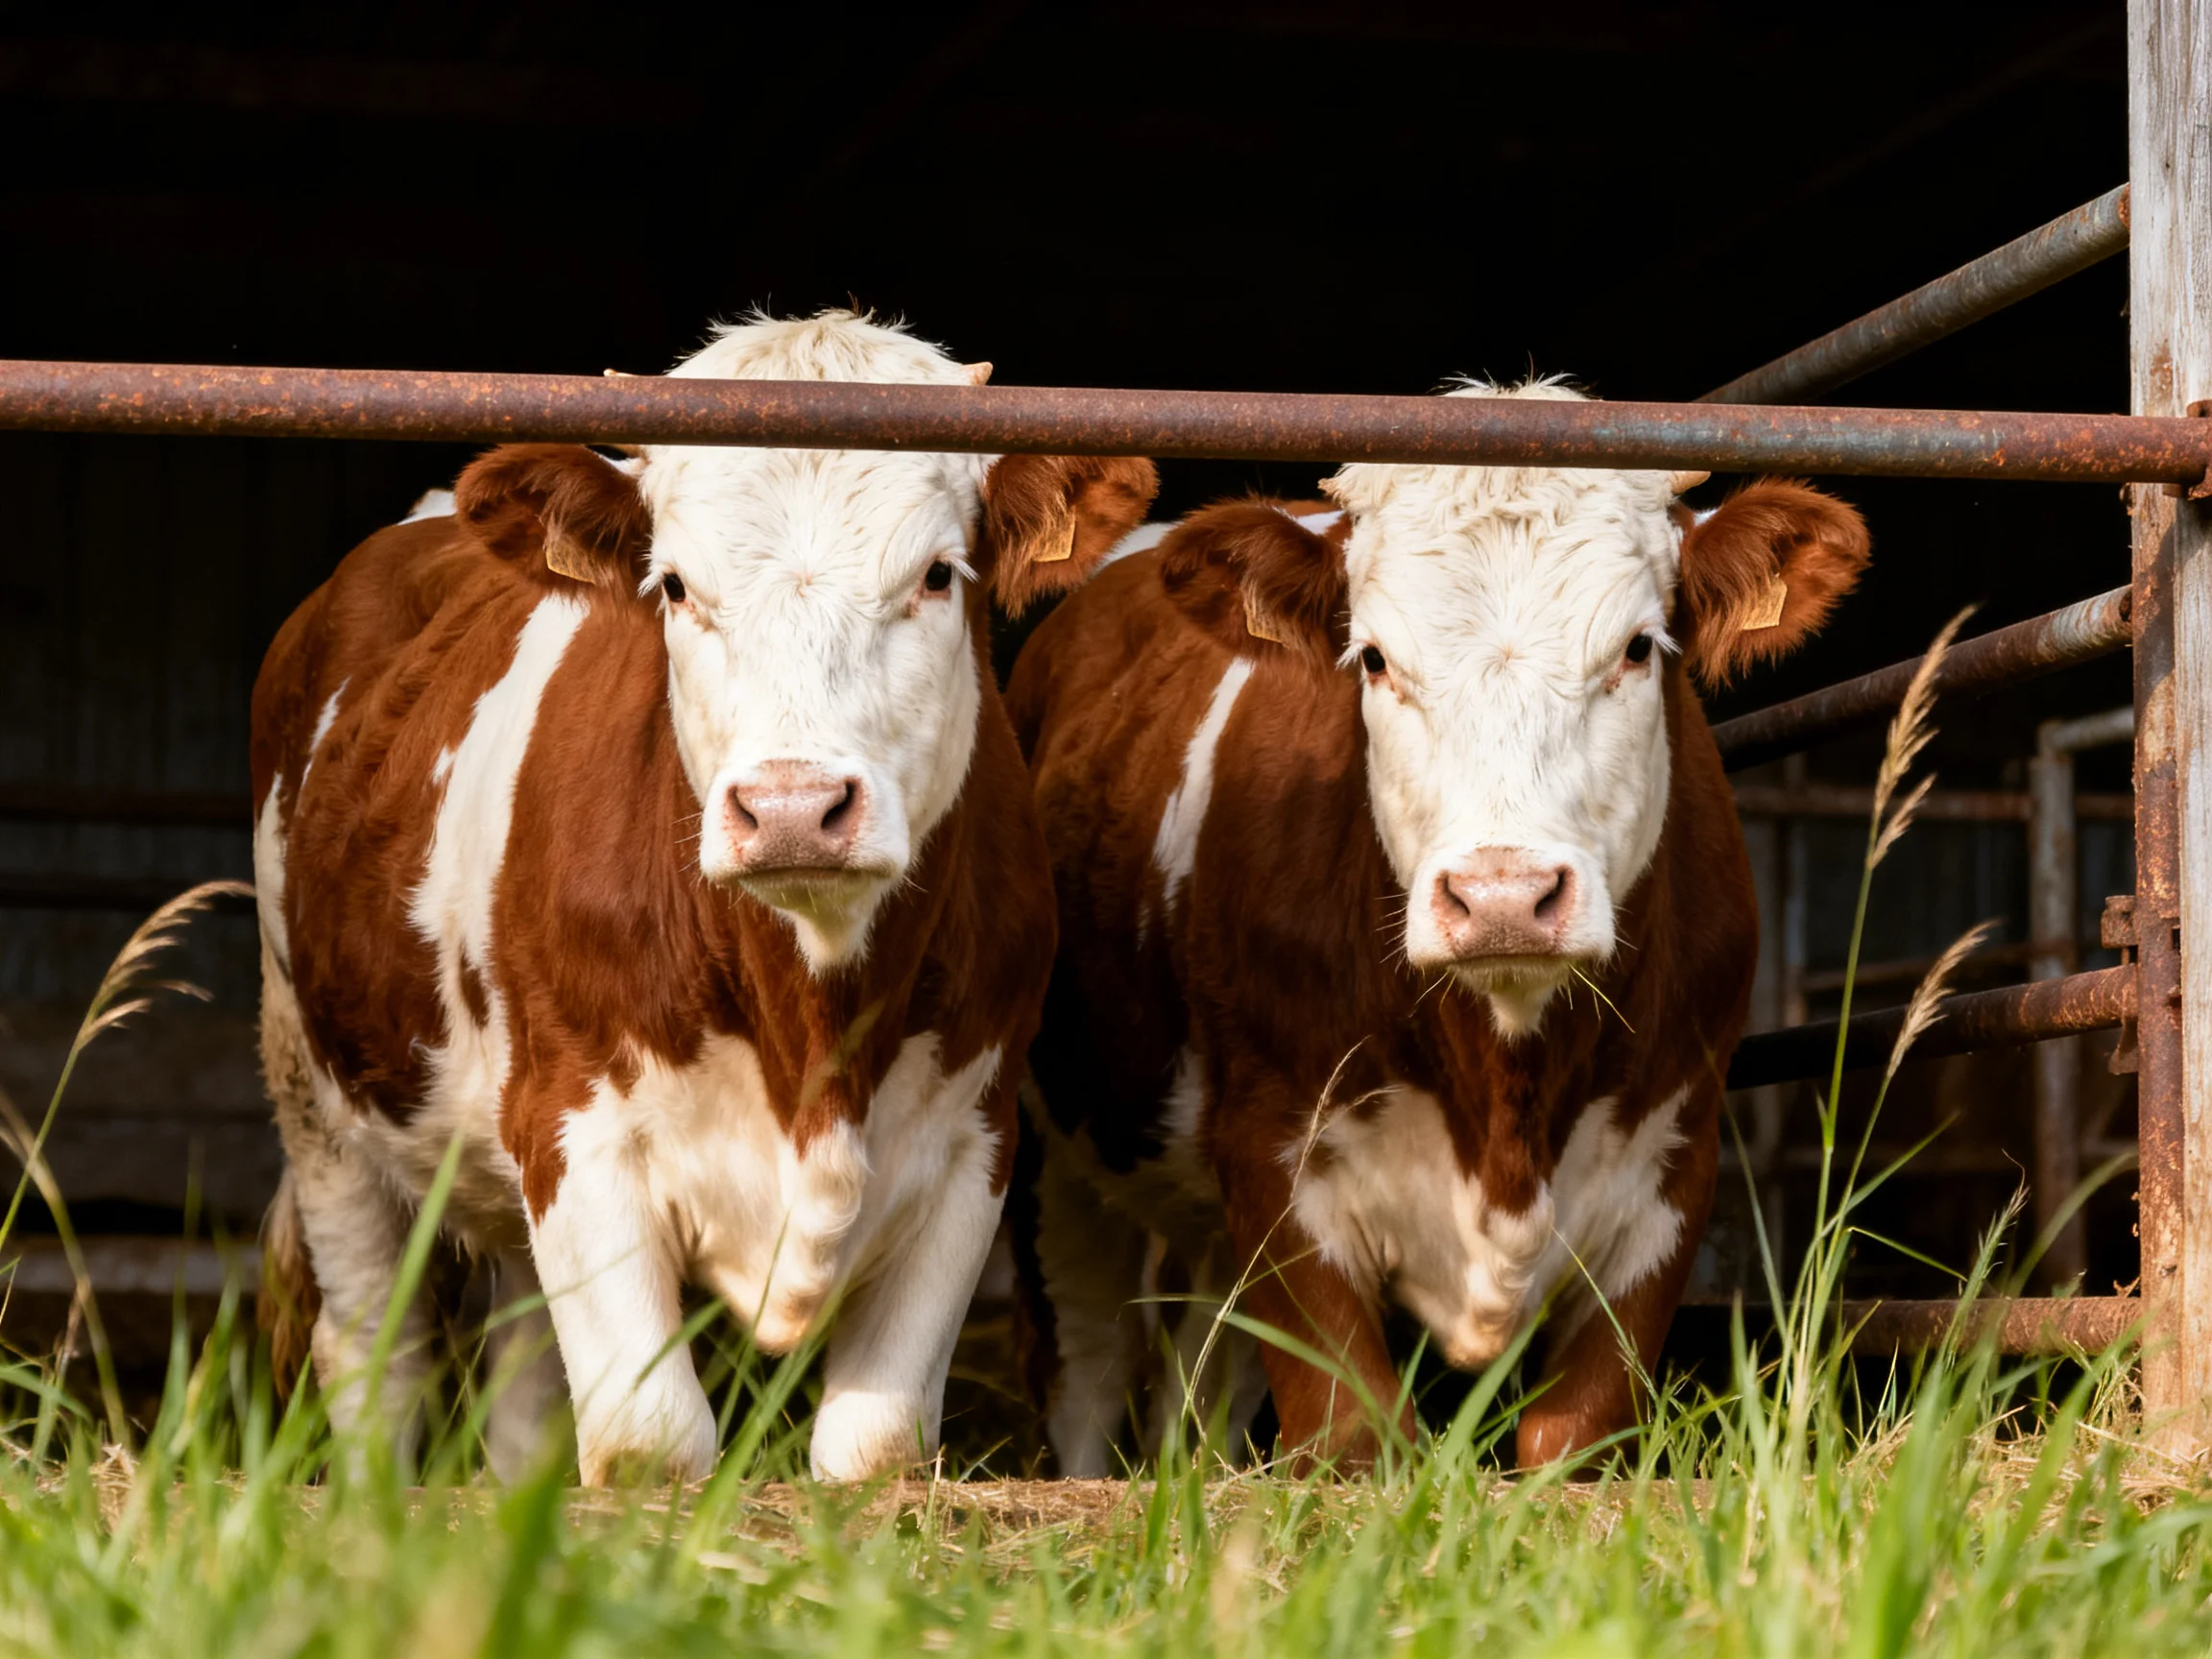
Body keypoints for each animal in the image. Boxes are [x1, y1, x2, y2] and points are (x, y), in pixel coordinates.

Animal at [251, 309, 1157, 1485]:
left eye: (937, 576)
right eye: (674, 585)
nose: (792, 807)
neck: (809, 1032)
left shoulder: (975, 1139)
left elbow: (874, 1446)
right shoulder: (573, 1129)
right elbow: (648, 1442)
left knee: (524, 1387)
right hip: (319, 1099)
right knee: (375, 1356)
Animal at [1008, 380, 1869, 1474]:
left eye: (1637, 648)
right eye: (1374, 660)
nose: (1503, 895)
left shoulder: (1673, 1169)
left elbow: (1574, 1435)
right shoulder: (1274, 1155)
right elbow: (1352, 1432)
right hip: (1054, 1159)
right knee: (1084, 1367)